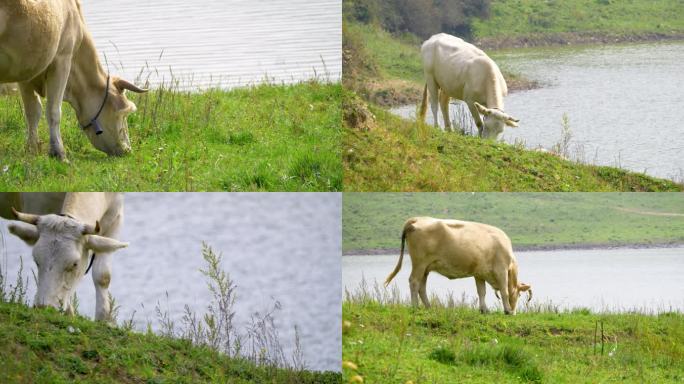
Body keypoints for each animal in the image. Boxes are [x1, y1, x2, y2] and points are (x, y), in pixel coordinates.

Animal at [0, 0, 147, 159]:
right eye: (123, 113)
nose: (127, 150)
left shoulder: (28, 70)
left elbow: (33, 112)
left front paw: (31, 150)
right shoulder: (62, 58)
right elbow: (54, 111)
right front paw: (59, 153)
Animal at [0, 192, 127, 320]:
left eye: (75, 264)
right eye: (36, 260)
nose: (44, 308)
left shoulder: (116, 215)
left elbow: (103, 276)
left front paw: (104, 319)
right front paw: (69, 315)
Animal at [382, 216, 532, 316]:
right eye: (519, 295)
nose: (515, 312)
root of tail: (417, 219)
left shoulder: (479, 273)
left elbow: (481, 292)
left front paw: (484, 310)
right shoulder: (501, 270)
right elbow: (504, 291)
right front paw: (508, 310)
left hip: (426, 267)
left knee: (421, 286)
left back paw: (429, 307)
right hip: (419, 262)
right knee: (414, 282)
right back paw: (415, 307)